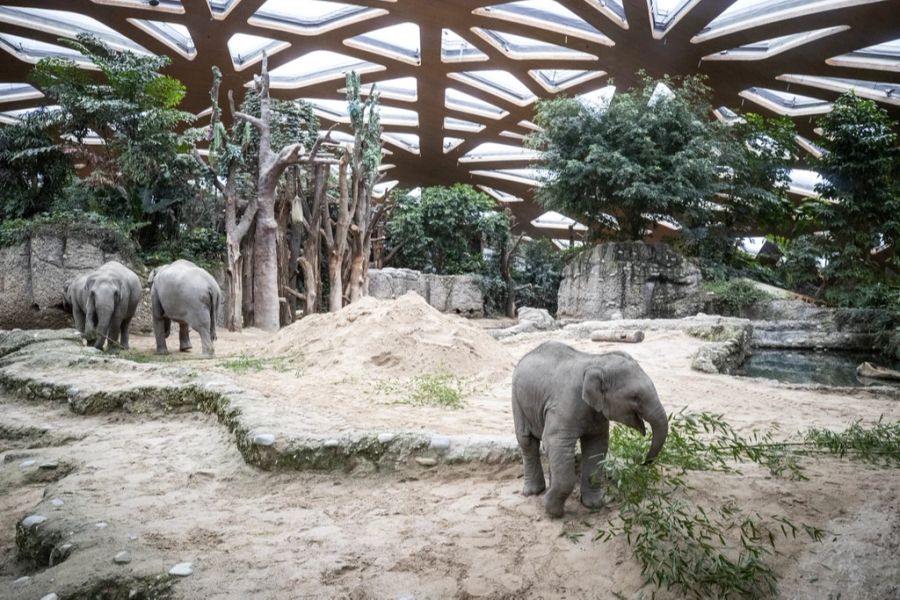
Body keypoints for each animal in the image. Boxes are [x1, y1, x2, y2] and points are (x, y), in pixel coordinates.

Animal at [512, 342, 668, 516]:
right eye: (635, 397)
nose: (643, 462)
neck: (597, 361)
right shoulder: (565, 405)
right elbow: (556, 441)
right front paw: (553, 511)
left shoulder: (597, 412)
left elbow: (596, 446)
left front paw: (593, 505)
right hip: (517, 400)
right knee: (527, 441)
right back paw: (534, 492)